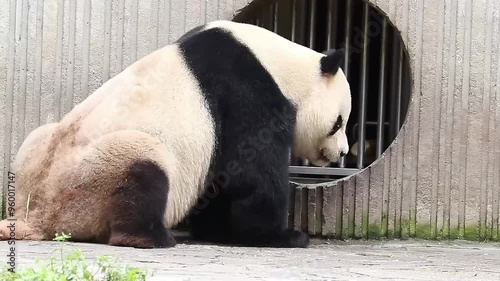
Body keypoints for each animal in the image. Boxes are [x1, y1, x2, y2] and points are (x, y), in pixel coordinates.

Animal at [0, 20, 352, 247]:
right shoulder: (246, 94)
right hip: (91, 177)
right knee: (143, 170)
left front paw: (218, 231)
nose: (343, 152)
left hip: (36, 149)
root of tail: (36, 217)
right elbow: (253, 173)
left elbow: (221, 181)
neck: (280, 64)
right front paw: (284, 236)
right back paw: (153, 237)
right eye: (339, 122)